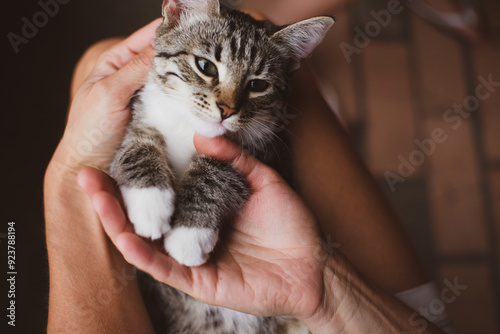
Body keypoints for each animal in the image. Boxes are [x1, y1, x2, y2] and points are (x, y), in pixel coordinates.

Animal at [111, 0, 334, 332]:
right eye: (206, 67)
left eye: (258, 84)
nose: (227, 109)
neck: (190, 127)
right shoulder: (142, 113)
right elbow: (136, 146)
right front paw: (150, 203)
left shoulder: (271, 154)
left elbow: (216, 171)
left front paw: (189, 234)